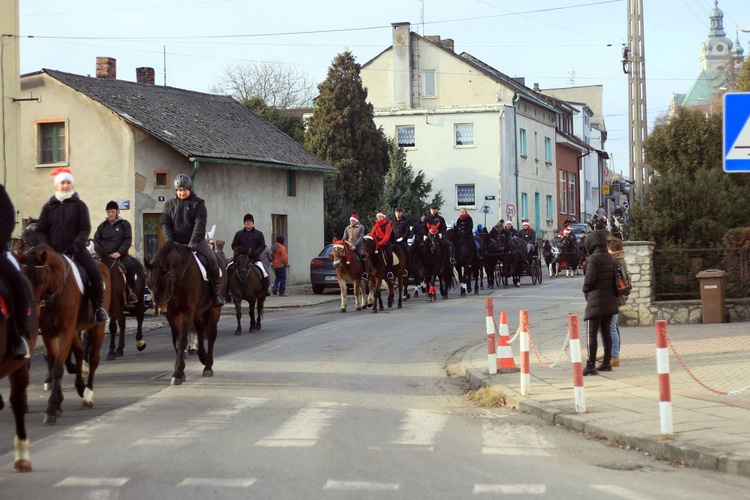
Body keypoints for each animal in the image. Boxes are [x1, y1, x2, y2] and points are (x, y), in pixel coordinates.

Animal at [17, 244, 110, 424]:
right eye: (23, 279)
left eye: (41, 280)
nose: (33, 313)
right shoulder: (48, 333)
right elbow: (53, 362)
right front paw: (57, 402)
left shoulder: (66, 331)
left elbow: (58, 368)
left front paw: (51, 409)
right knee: (80, 351)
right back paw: (80, 386)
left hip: (97, 328)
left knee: (93, 359)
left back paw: (88, 396)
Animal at [146, 240, 226, 384]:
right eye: (148, 284)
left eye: (164, 285)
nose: (157, 307)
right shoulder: (172, 314)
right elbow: (176, 340)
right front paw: (181, 370)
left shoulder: (187, 311)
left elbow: (182, 339)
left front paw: (177, 373)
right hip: (198, 311)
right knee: (200, 329)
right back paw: (202, 356)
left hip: (214, 308)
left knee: (211, 334)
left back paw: (208, 366)